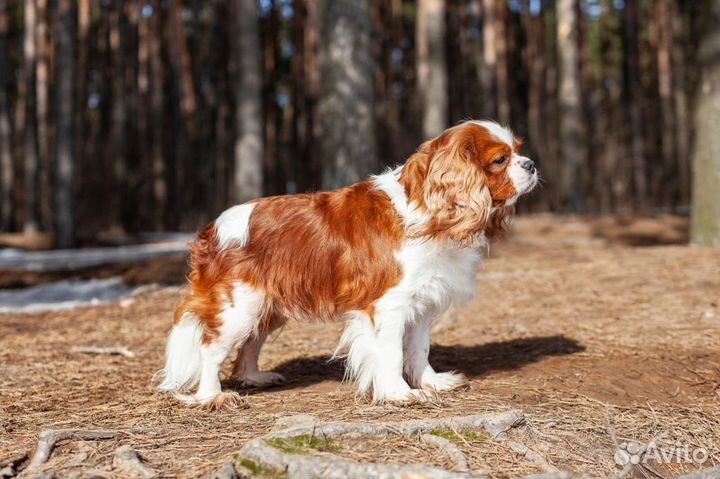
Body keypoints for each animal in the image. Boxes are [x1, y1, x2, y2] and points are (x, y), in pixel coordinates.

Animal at [159, 120, 540, 408]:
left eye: (519, 149)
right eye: (500, 160)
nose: (531, 164)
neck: (428, 212)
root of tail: (211, 229)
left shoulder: (422, 303)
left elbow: (419, 349)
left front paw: (430, 382)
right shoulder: (388, 306)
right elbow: (391, 353)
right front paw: (399, 393)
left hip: (267, 306)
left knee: (250, 344)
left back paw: (254, 377)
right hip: (239, 305)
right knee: (211, 347)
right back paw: (213, 396)